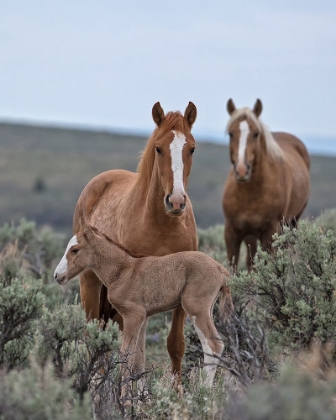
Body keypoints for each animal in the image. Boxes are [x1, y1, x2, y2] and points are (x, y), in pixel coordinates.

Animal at [54, 225, 234, 392]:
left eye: (75, 249)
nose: (57, 275)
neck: (121, 271)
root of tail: (220, 268)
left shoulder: (133, 315)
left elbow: (126, 355)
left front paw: (123, 398)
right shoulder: (144, 317)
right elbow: (138, 359)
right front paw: (141, 399)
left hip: (196, 308)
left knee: (214, 345)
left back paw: (203, 392)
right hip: (205, 309)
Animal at [73, 101, 198, 380]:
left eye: (192, 148)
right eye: (158, 148)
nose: (176, 202)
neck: (162, 226)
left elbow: (175, 344)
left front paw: (178, 391)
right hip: (90, 284)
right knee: (95, 335)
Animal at [222, 98, 312, 270]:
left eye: (256, 134)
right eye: (230, 133)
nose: (242, 170)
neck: (250, 194)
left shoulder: (270, 232)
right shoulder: (232, 232)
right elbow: (235, 268)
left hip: (291, 223)